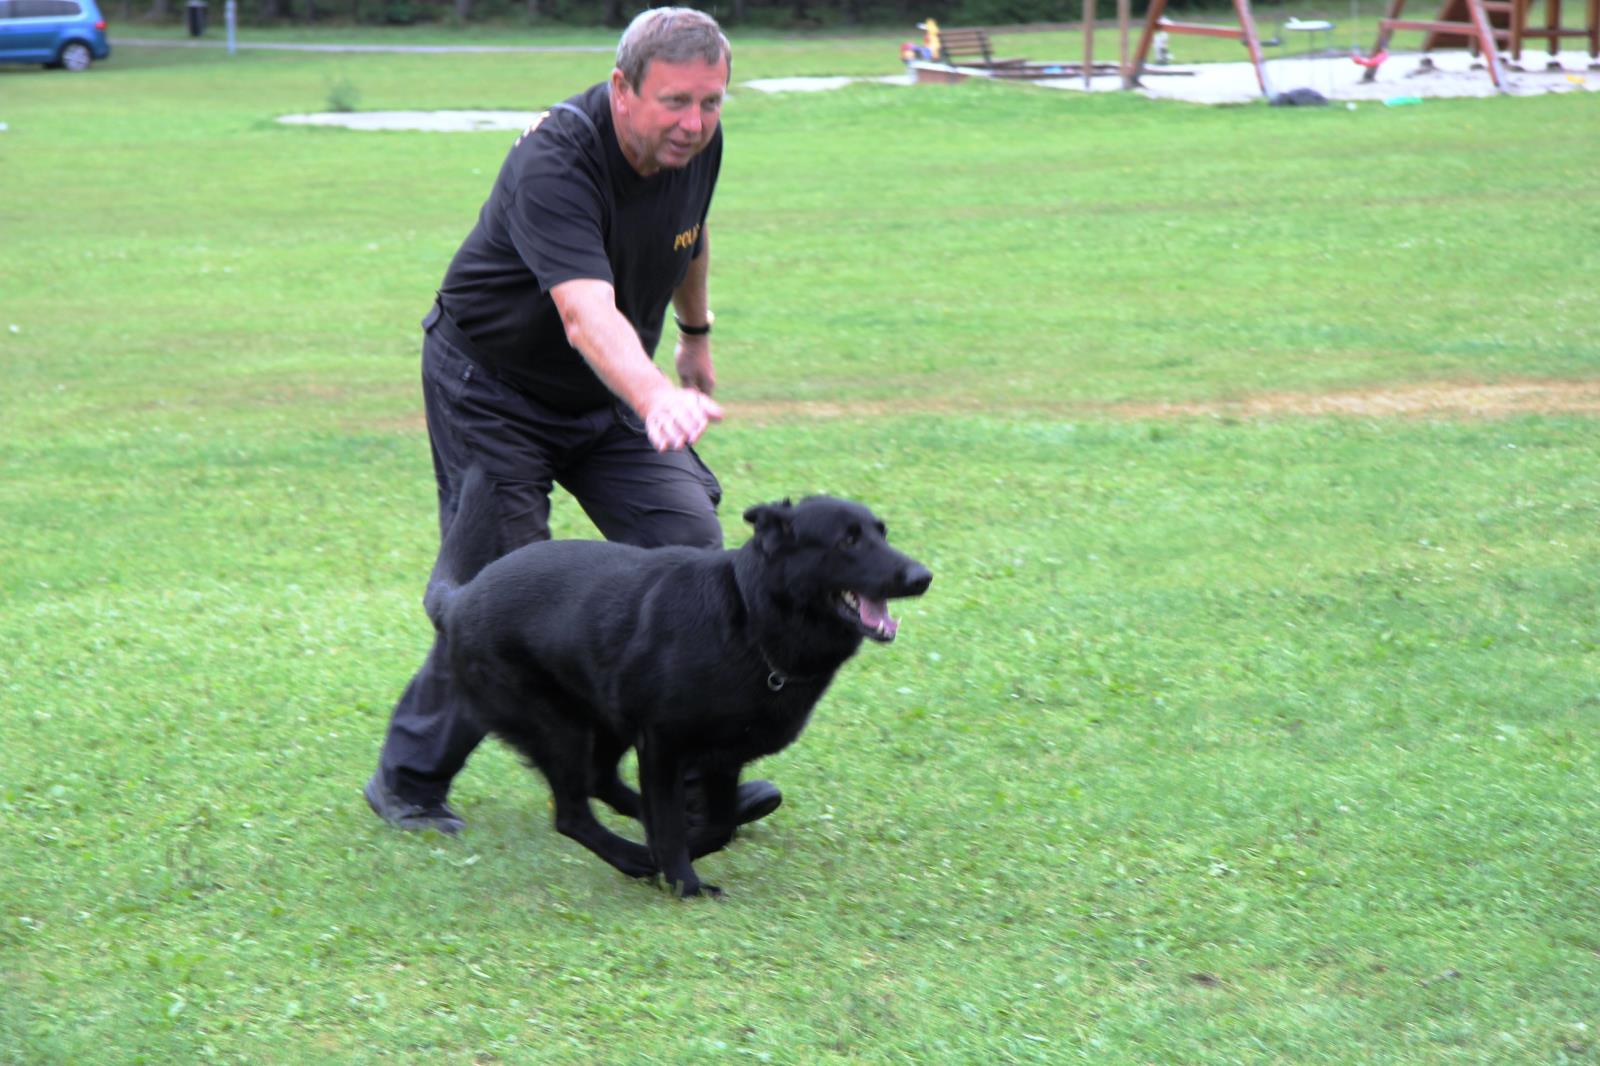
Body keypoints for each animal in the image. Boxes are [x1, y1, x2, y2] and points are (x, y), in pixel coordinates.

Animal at [425, 470, 934, 889]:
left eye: (881, 533)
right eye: (847, 541)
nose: (923, 576)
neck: (751, 618)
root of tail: (459, 600)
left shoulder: (722, 757)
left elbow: (717, 825)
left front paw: (683, 846)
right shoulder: (663, 745)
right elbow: (671, 828)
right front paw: (683, 882)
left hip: (604, 722)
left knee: (600, 783)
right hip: (560, 729)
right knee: (572, 815)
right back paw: (632, 858)